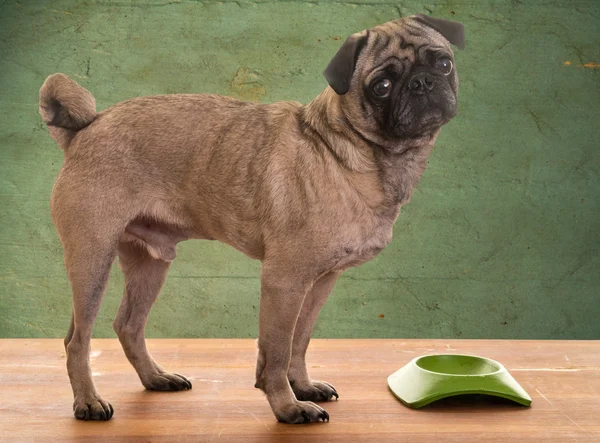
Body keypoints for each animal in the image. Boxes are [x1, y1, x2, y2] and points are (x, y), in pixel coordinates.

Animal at [39, 13, 464, 424]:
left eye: (443, 63)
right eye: (382, 86)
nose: (422, 82)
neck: (345, 149)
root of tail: (86, 128)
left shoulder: (319, 283)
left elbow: (299, 340)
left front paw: (302, 386)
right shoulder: (284, 281)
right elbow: (276, 351)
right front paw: (288, 406)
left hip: (149, 265)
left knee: (128, 325)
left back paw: (155, 378)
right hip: (92, 259)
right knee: (77, 341)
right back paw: (88, 402)